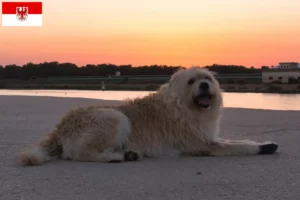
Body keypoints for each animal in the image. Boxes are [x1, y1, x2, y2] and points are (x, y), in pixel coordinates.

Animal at [19, 67, 280, 166]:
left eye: (207, 78)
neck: (185, 106)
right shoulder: (203, 145)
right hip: (114, 117)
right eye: (192, 81)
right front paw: (260, 148)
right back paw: (116, 157)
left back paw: (128, 153)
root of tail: (60, 128)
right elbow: (238, 146)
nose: (205, 85)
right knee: (77, 154)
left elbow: (235, 141)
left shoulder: (208, 137)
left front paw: (265, 143)